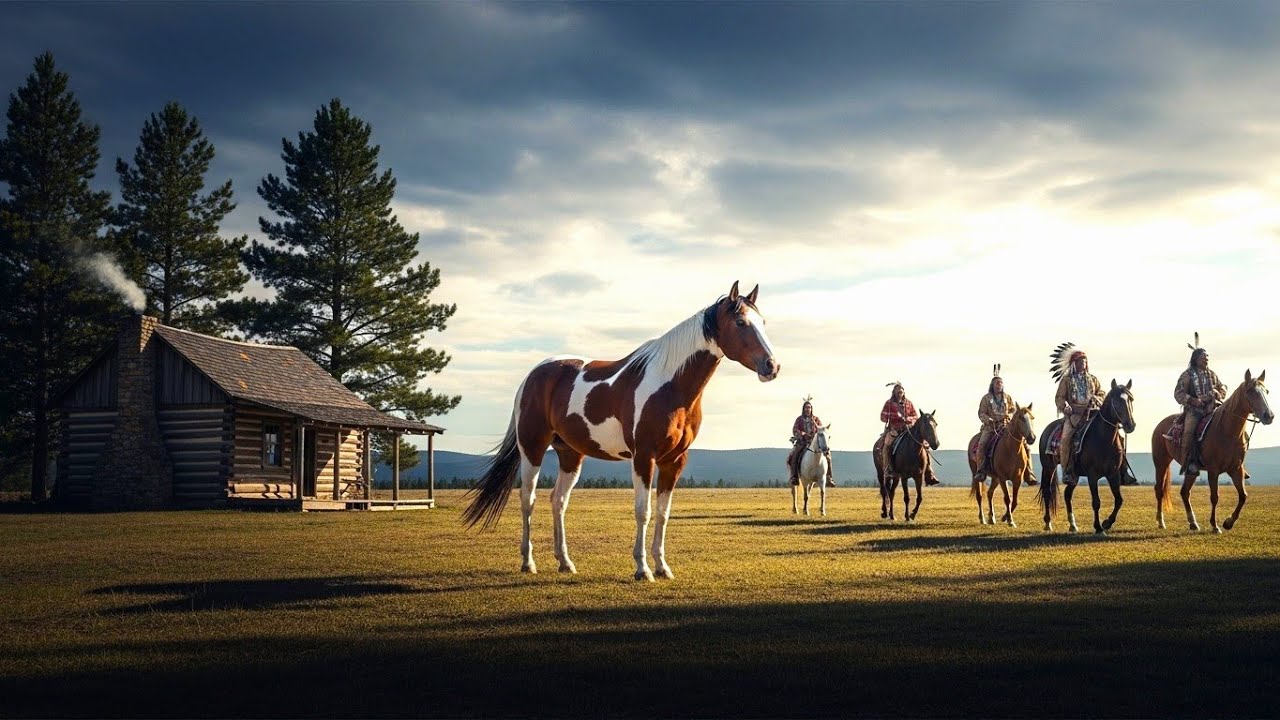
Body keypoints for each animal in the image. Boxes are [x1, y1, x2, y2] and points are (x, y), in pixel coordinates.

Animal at [462, 281, 780, 581]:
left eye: (763, 322)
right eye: (740, 322)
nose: (772, 366)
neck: (669, 385)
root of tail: (534, 374)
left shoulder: (674, 460)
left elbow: (663, 514)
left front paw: (662, 567)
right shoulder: (643, 457)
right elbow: (644, 512)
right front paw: (642, 569)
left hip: (570, 454)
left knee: (558, 501)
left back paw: (565, 562)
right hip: (533, 447)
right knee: (528, 500)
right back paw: (528, 563)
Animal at [1037, 379, 1136, 534]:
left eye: (1131, 399)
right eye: (1117, 400)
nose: (1130, 425)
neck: (1103, 439)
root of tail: (1047, 429)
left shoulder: (1113, 474)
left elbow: (1119, 500)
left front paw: (1107, 523)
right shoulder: (1092, 475)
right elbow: (1096, 502)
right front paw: (1098, 527)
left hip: (1074, 474)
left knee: (1067, 494)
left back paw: (1072, 525)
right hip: (1048, 467)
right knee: (1047, 491)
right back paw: (1048, 523)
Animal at [1152, 369, 1273, 533]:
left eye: (1266, 391)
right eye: (1251, 392)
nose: (1269, 416)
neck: (1227, 432)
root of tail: (1160, 425)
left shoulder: (1236, 469)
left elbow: (1243, 496)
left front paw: (1228, 522)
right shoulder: (1213, 470)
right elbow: (1215, 497)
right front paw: (1215, 526)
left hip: (1191, 470)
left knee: (1185, 492)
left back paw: (1193, 523)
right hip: (1161, 462)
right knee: (1159, 489)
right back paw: (1161, 522)